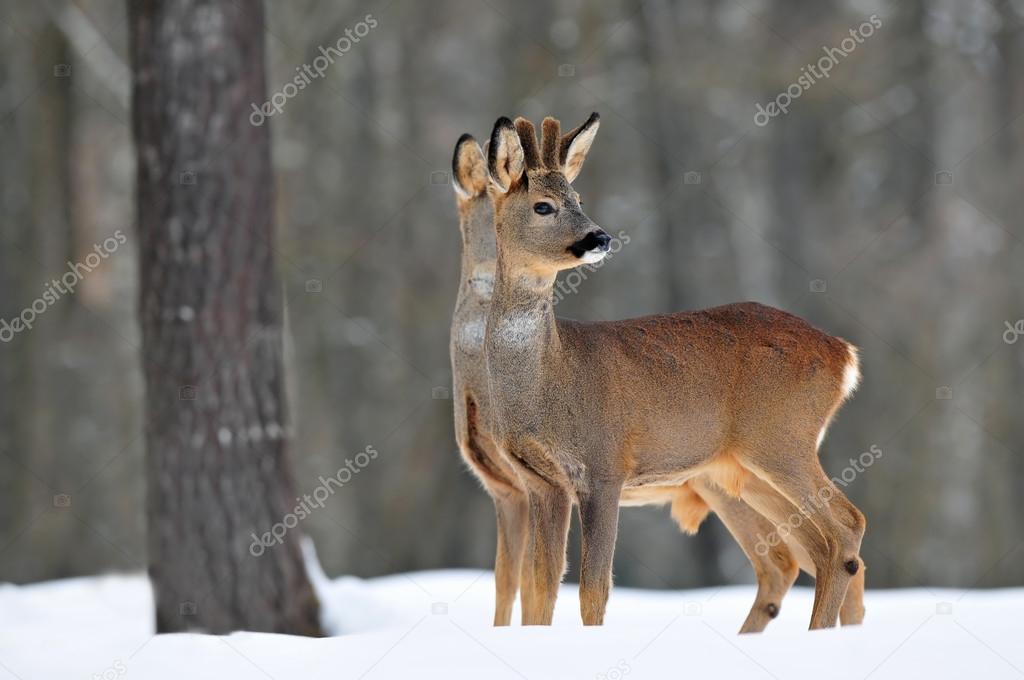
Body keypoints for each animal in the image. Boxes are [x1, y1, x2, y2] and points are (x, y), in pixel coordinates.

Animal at [483, 114, 868, 630]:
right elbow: (541, 587)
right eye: (544, 206)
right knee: (813, 547)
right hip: (743, 467)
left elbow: (593, 589)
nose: (600, 238)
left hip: (782, 438)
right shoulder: (542, 483)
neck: (550, 381)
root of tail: (844, 353)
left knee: (845, 526)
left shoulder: (605, 465)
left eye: (579, 199)